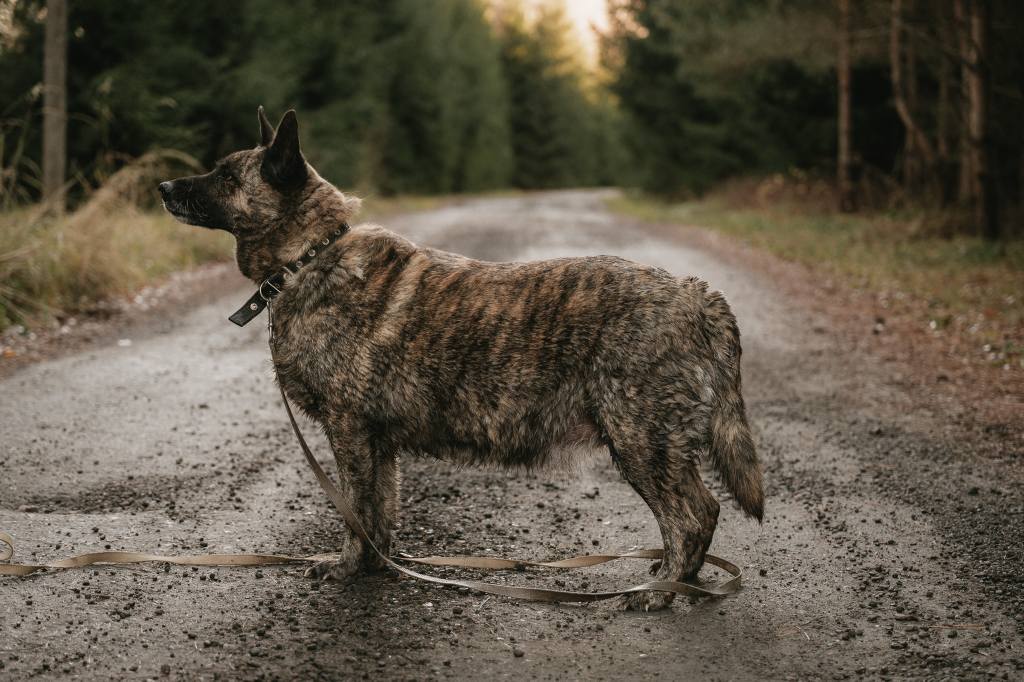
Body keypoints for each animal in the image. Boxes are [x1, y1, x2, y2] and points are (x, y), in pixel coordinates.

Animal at [159, 107, 764, 611]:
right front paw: (376, 567)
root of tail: (694, 292)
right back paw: (673, 579)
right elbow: (380, 512)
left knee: (693, 516)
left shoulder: (348, 430)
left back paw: (664, 590)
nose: (162, 185)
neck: (309, 256)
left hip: (642, 441)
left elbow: (355, 511)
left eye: (226, 177)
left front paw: (346, 567)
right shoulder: (378, 444)